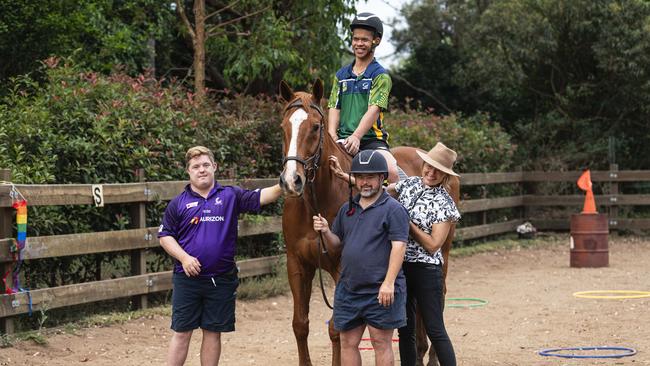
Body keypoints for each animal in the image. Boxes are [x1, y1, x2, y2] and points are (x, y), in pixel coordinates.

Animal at [276, 80, 458, 366]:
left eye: (315, 127)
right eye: (283, 127)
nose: (291, 181)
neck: (316, 202)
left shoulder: (342, 267)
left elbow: (336, 329)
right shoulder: (297, 264)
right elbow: (300, 325)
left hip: (442, 254)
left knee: (437, 297)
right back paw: (418, 352)